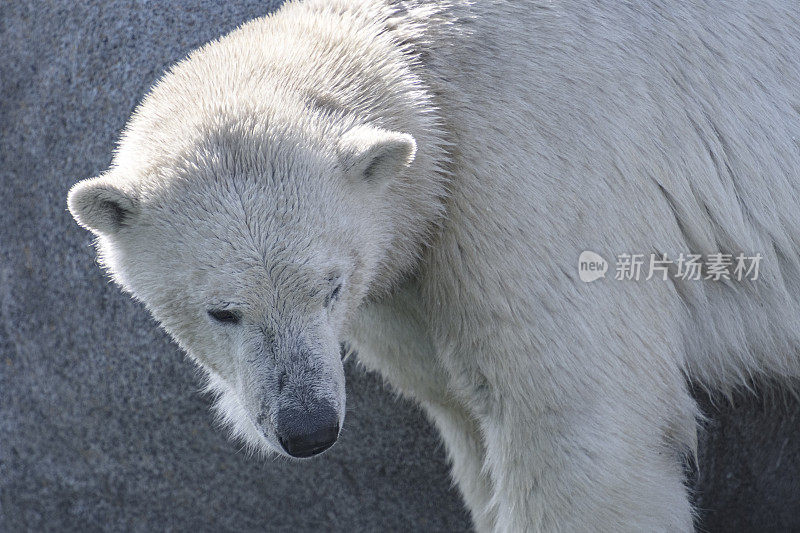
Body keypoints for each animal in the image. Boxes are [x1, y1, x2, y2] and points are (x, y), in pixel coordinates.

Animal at [65, 0, 800, 528]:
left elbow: (582, 426)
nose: (308, 427)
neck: (423, 83)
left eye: (328, 287)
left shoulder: (522, 174)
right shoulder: (408, 272)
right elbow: (465, 411)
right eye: (224, 310)